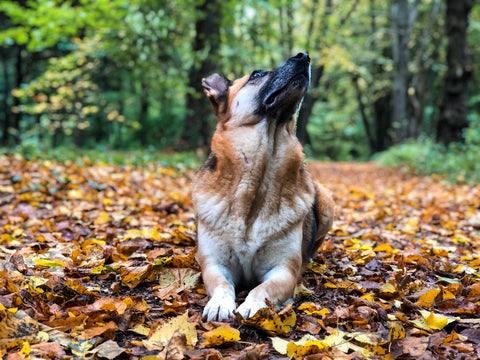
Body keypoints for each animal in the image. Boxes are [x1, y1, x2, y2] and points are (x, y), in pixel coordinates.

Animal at [191, 52, 334, 320]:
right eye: (256, 75)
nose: (304, 56)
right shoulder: (214, 264)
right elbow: (222, 284)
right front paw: (220, 302)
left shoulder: (284, 269)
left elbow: (263, 288)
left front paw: (255, 304)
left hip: (325, 200)